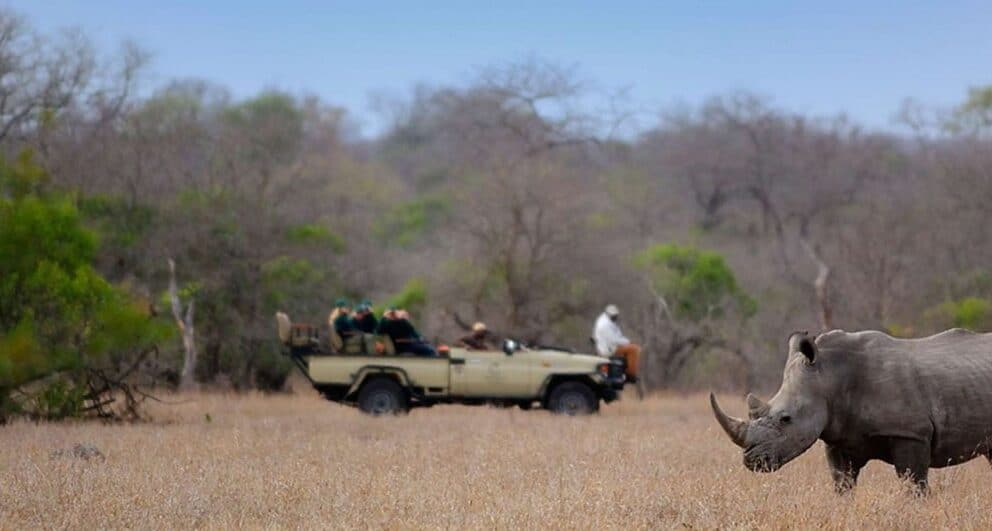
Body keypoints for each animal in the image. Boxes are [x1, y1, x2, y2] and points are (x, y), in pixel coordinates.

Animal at [711, 329, 992, 493]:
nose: (751, 461)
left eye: (785, 419)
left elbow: (913, 484)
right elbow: (842, 483)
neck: (829, 376)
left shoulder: (911, 433)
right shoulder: (839, 438)